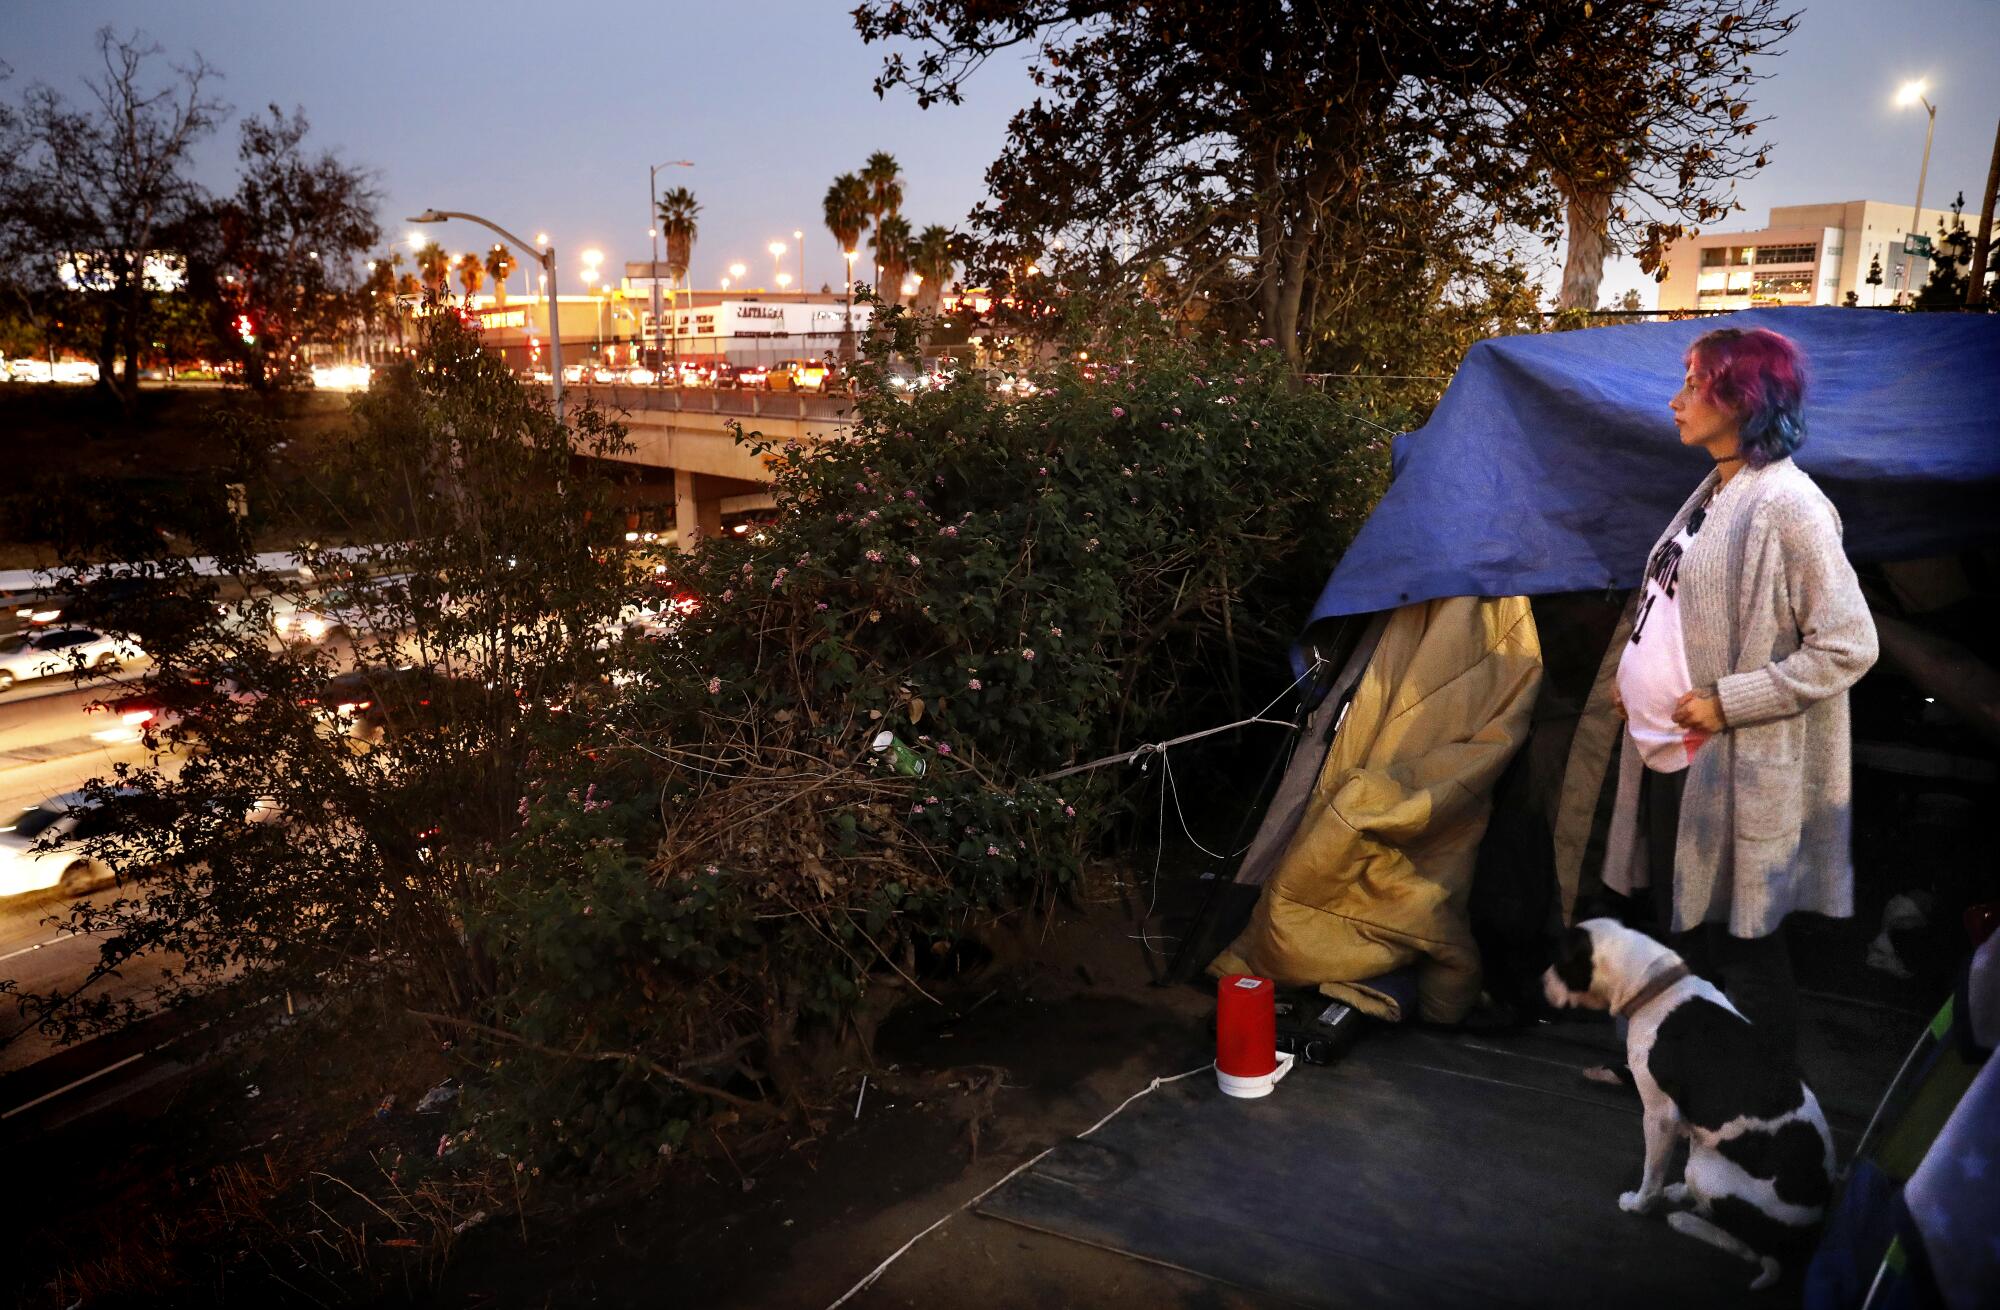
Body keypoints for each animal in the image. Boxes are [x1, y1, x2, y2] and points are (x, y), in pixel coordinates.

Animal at [1536, 924, 1832, 1288]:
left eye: (1560, 960)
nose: (1540, 982)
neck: (1656, 987)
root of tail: (1805, 1233)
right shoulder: (1694, 1120)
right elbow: (1687, 1143)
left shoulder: (1660, 1117)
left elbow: (1651, 1175)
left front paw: (1638, 1205)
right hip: (1704, 1160)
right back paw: (1684, 1198)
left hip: (1705, 1171)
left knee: (1748, 1247)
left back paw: (1684, 1220)